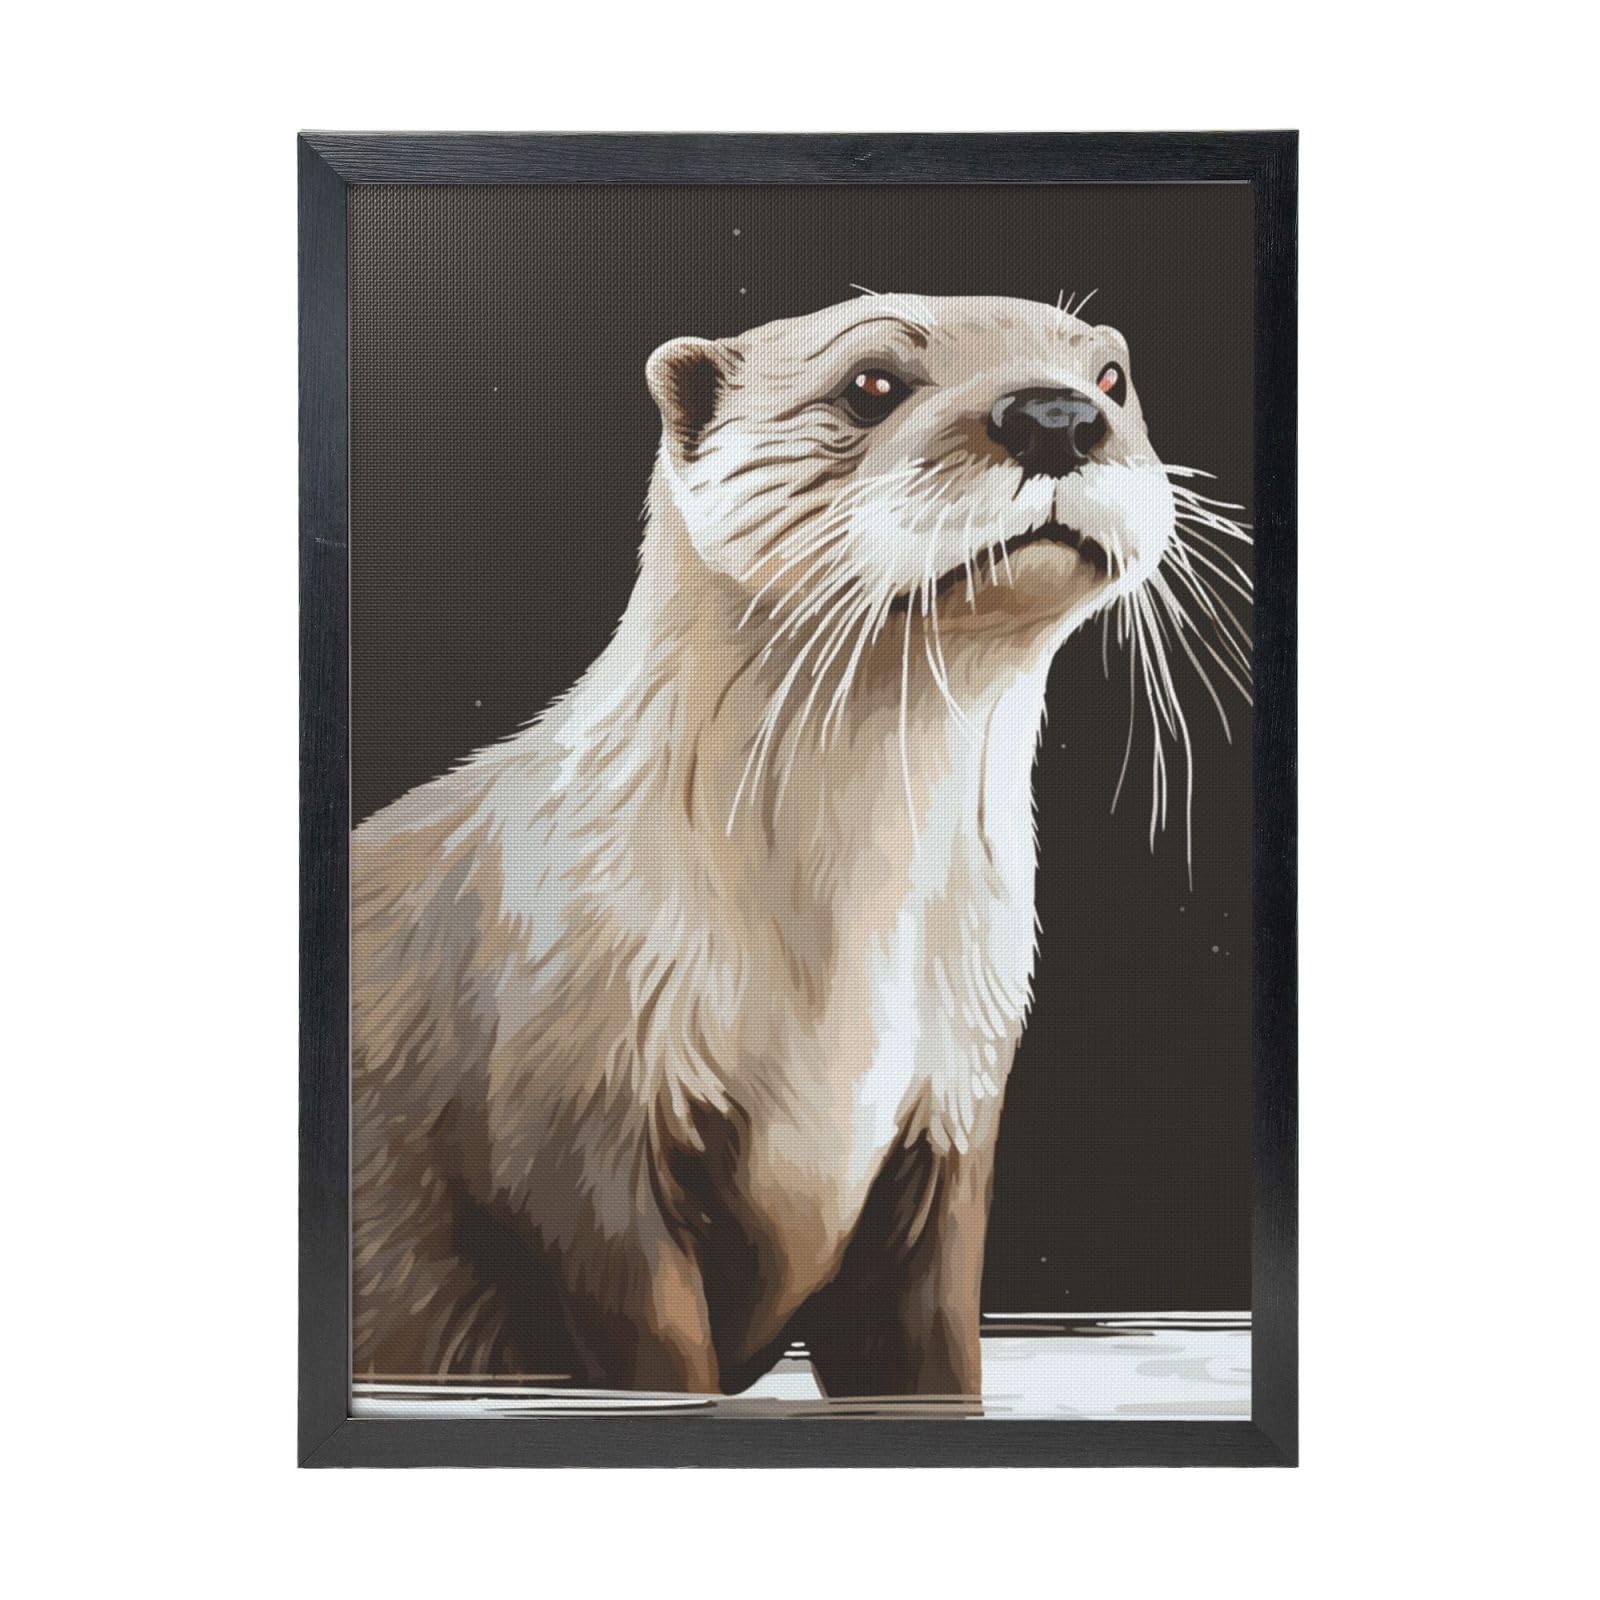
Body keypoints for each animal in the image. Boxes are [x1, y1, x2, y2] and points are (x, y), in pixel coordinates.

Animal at [352, 292, 1243, 1395]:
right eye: (871, 383)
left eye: (1112, 377)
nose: (1056, 416)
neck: (836, 971)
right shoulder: (574, 1128)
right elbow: (654, 1343)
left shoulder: (952, 1117)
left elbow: (928, 1344)